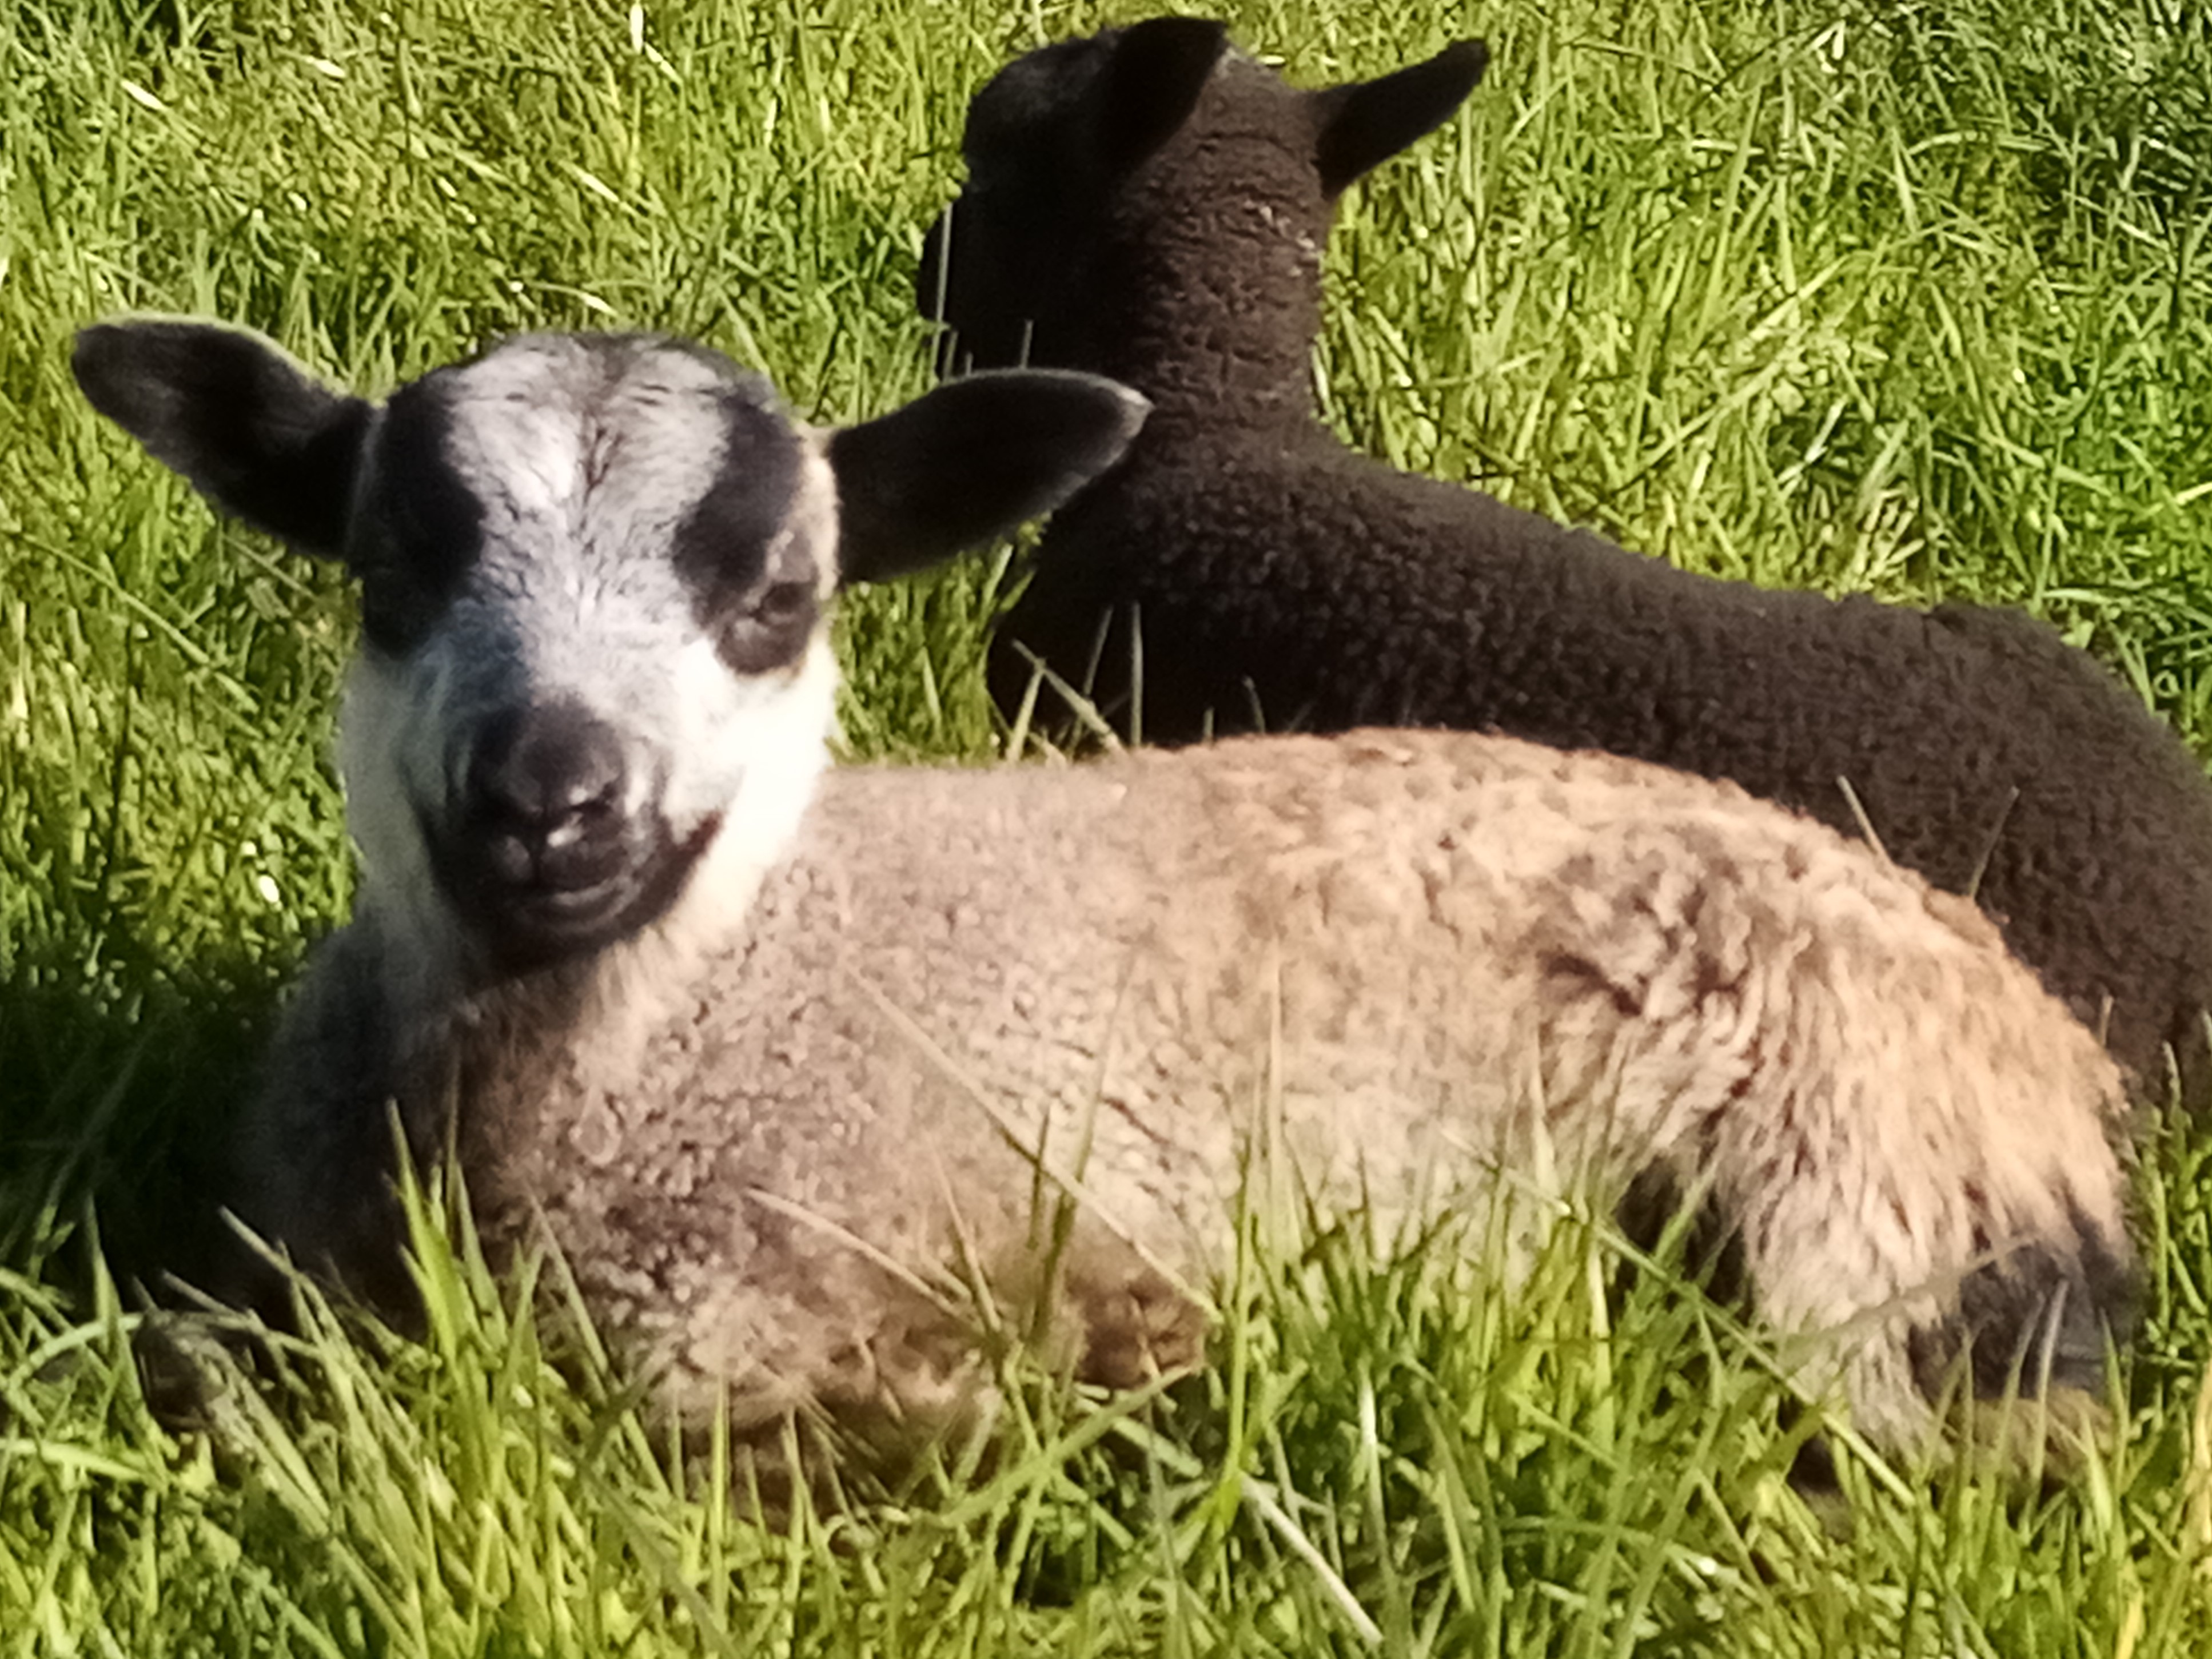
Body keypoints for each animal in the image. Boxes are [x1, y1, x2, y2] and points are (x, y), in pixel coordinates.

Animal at [75, 315, 2137, 1471]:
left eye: (776, 598)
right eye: (386, 570)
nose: (549, 808)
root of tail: (2047, 1047)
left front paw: (1087, 1391)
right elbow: (195, 1356)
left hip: (1850, 1195)